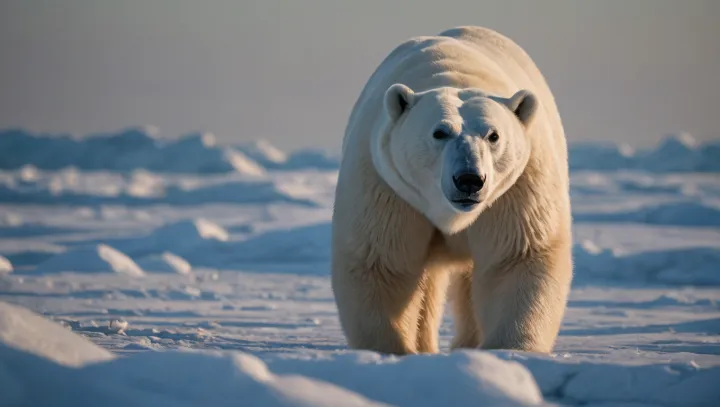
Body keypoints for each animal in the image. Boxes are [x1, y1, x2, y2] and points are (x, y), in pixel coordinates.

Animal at [330, 25, 573, 355]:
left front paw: (508, 349)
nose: (469, 179)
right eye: (440, 132)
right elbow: (382, 262)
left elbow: (517, 256)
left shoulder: (518, 187)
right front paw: (392, 349)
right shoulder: (387, 185)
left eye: (493, 135)